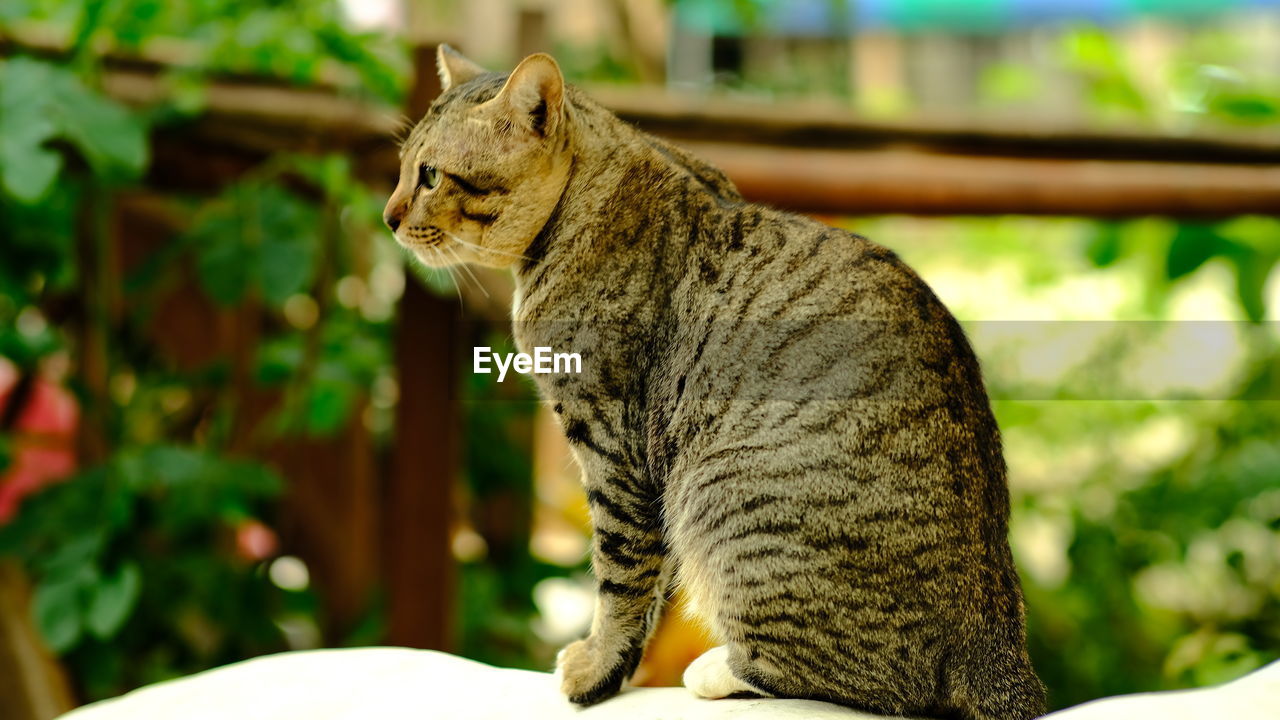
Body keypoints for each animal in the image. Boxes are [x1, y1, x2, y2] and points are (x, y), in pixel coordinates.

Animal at [384, 46, 1044, 717]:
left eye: (430, 176)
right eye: (403, 169)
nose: (388, 217)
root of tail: (996, 653)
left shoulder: (613, 449)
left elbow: (620, 580)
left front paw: (595, 669)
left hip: (721, 498)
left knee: (861, 679)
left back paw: (716, 669)